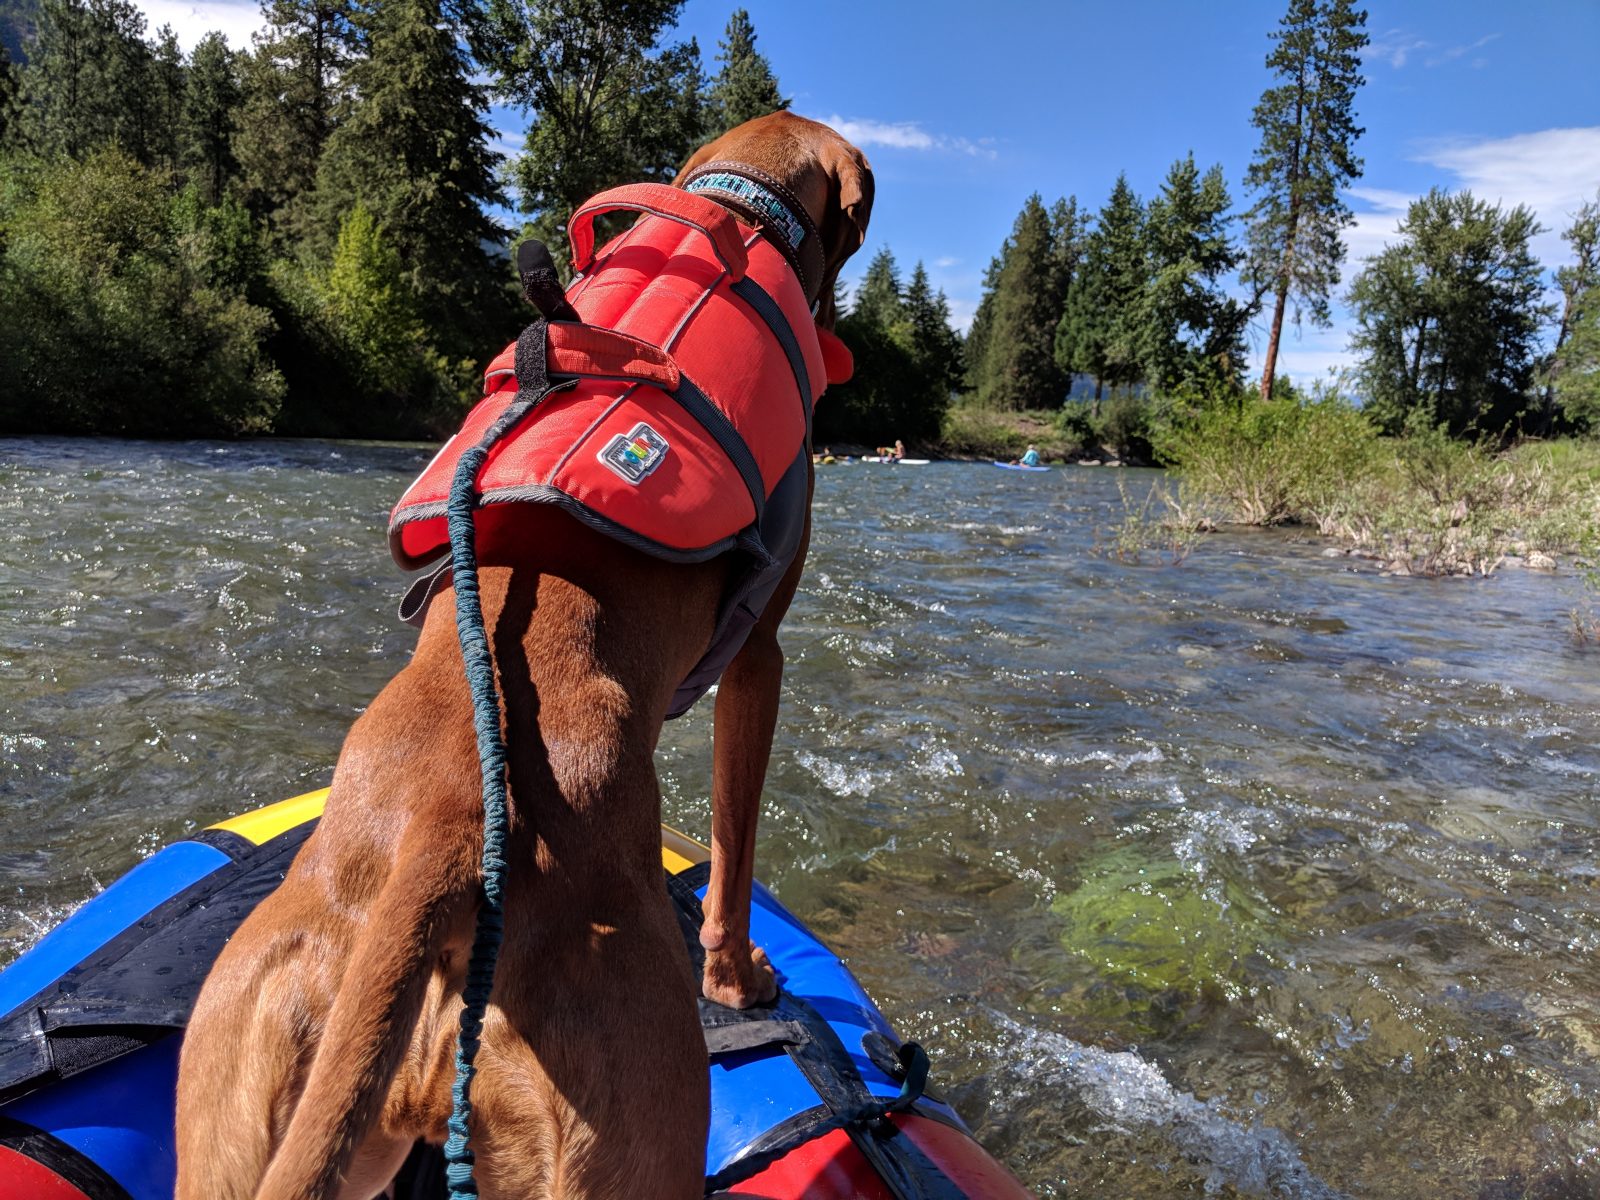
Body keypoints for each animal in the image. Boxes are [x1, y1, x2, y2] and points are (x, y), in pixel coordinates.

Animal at [173, 112, 870, 1200]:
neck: (736, 208)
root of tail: (447, 837)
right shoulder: (758, 656)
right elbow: (734, 846)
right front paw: (739, 978)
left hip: (254, 1074)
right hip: (628, 1120)